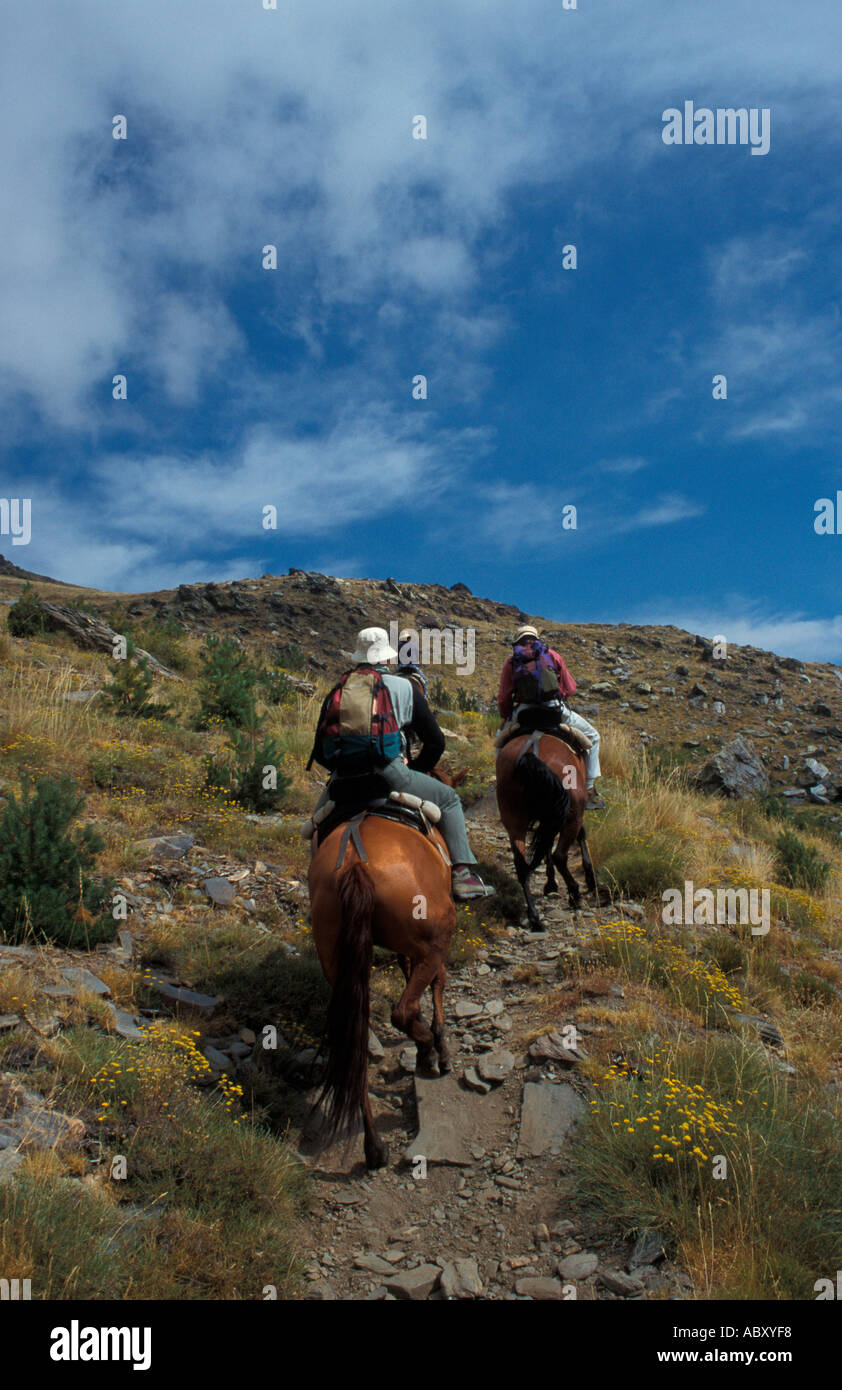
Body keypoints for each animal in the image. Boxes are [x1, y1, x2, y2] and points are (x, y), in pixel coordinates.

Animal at [308, 811, 455, 1173]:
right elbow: (437, 983)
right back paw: (428, 1053)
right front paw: (439, 1045)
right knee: (401, 1011)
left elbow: (406, 970)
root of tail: (354, 864)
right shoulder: (431, 945)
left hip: (338, 959)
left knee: (356, 1044)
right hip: (435, 938)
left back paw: (374, 1148)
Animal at [497, 728, 597, 934]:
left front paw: (550, 883)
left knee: (522, 866)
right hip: (572, 815)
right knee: (560, 855)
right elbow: (580, 836)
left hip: (514, 820)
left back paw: (535, 918)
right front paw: (589, 878)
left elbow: (545, 846)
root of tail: (531, 755)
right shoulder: (572, 813)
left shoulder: (548, 817)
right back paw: (575, 894)